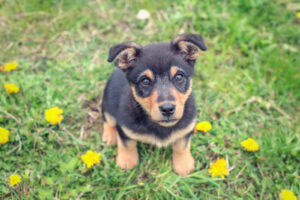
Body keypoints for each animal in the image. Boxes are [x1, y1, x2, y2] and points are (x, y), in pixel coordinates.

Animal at [101, 33, 206, 176]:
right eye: (145, 81)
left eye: (179, 77)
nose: (167, 109)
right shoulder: (124, 127)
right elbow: (127, 144)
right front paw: (127, 161)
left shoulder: (186, 127)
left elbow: (181, 146)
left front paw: (183, 165)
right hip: (107, 105)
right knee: (108, 120)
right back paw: (109, 137)